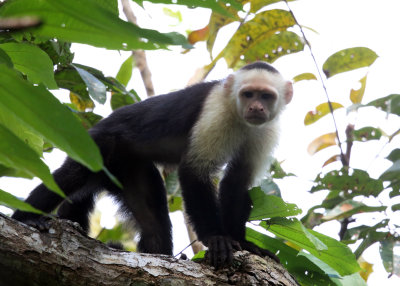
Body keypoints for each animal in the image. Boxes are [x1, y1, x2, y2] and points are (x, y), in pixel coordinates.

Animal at [12, 61, 292, 268]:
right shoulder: (217, 112)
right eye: (248, 94)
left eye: (266, 96)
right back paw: (26, 217)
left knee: (153, 218)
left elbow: (237, 181)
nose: (255, 107)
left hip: (129, 168)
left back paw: (157, 253)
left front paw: (242, 242)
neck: (238, 116)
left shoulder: (266, 129)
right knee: (73, 174)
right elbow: (194, 170)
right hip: (96, 144)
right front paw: (215, 238)